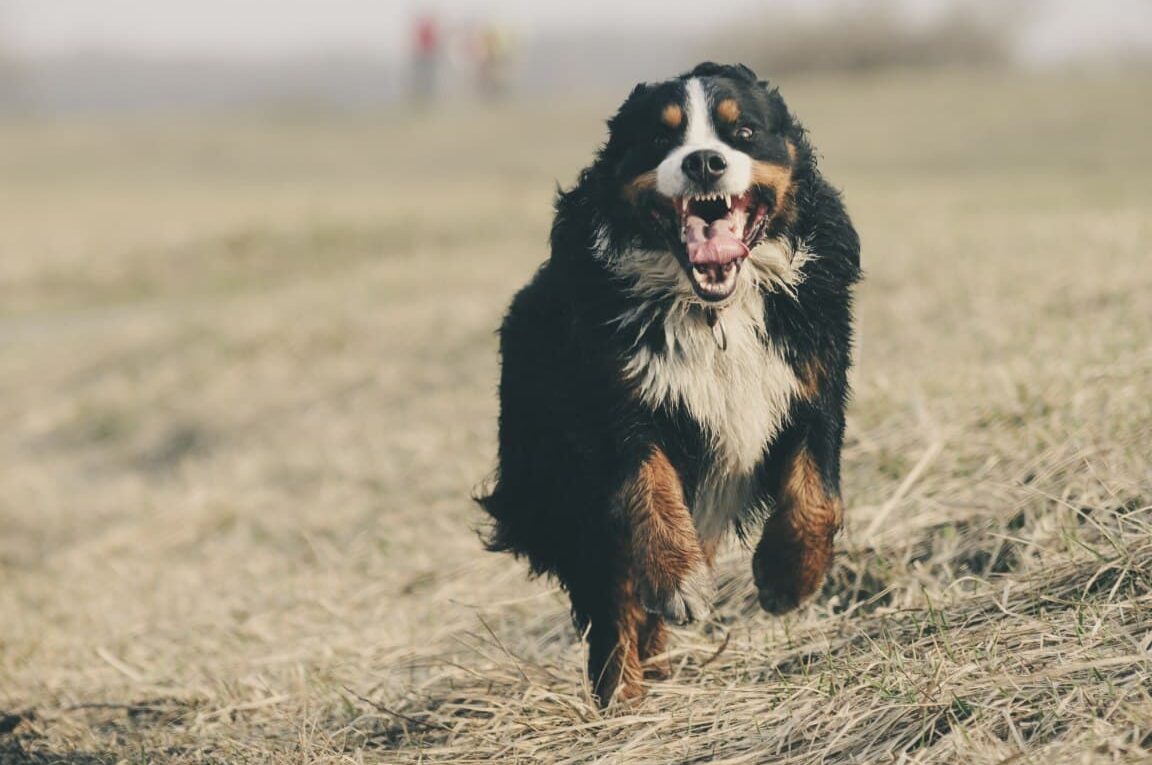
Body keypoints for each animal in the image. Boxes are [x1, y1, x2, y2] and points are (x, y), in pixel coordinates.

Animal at [474, 59, 857, 705]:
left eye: (743, 132)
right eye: (660, 137)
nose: (704, 161)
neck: (714, 312)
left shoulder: (813, 381)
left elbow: (817, 497)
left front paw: (786, 577)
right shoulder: (617, 404)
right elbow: (649, 491)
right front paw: (679, 581)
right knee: (613, 599)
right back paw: (623, 695)